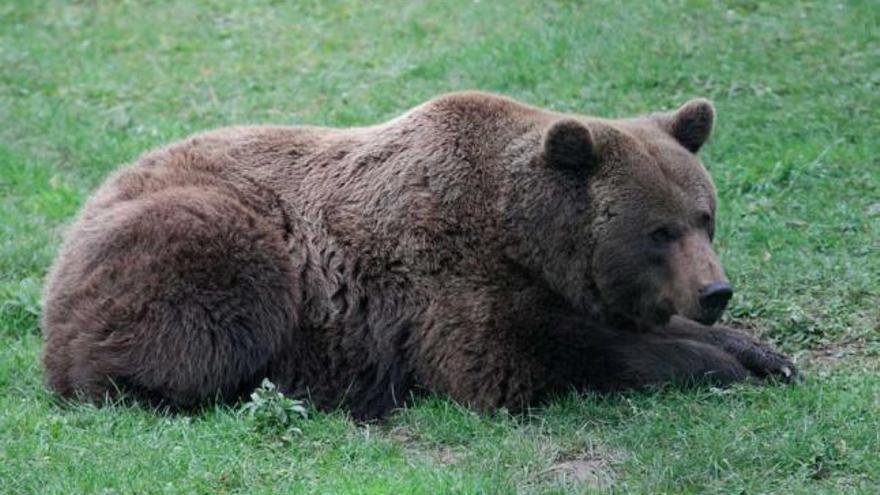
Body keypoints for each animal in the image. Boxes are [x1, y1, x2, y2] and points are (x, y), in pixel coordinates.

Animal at [41, 92, 796, 418]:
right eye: (658, 232)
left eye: (704, 217)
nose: (716, 290)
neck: (526, 235)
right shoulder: (446, 276)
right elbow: (520, 357)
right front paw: (715, 363)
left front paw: (761, 352)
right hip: (209, 237)